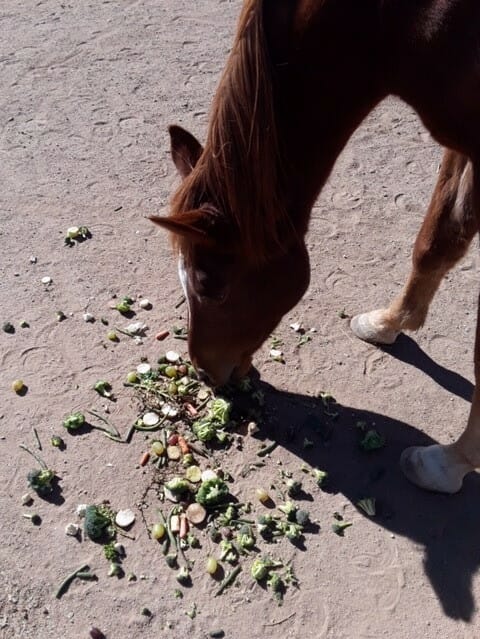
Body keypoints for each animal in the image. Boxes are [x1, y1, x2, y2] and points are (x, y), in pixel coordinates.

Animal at [152, 1, 480, 496]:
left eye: (211, 286)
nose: (204, 372)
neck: (408, 24)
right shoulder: (460, 143)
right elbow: (436, 240)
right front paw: (388, 322)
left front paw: (447, 463)